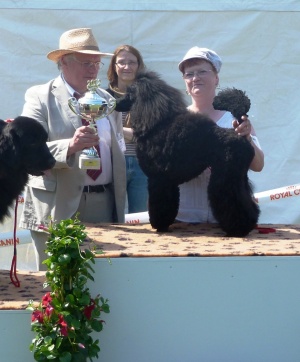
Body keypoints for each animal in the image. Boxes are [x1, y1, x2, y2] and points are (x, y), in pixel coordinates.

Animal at [117, 70, 260, 238]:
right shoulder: (168, 181)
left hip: (226, 176)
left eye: (129, 93)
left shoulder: (159, 179)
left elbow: (160, 205)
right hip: (238, 175)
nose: (116, 102)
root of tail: (239, 135)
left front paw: (160, 226)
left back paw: (237, 229)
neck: (157, 125)